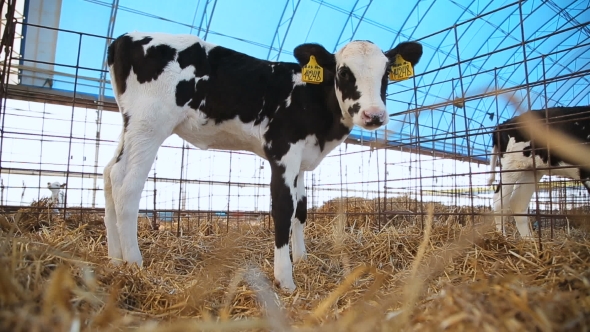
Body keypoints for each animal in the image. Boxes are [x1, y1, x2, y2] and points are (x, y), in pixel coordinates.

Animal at [104, 30, 424, 290]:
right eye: (344, 72)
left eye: (386, 73)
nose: (374, 115)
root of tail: (124, 38)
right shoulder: (282, 151)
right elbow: (283, 208)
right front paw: (285, 278)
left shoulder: (301, 160)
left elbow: (301, 210)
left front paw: (302, 258)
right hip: (150, 123)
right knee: (127, 184)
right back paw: (134, 262)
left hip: (131, 125)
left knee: (109, 174)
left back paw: (115, 258)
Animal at [488, 105, 590, 237]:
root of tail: (503, 124)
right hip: (511, 165)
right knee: (499, 201)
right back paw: (502, 237)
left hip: (532, 170)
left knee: (518, 202)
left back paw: (528, 240)